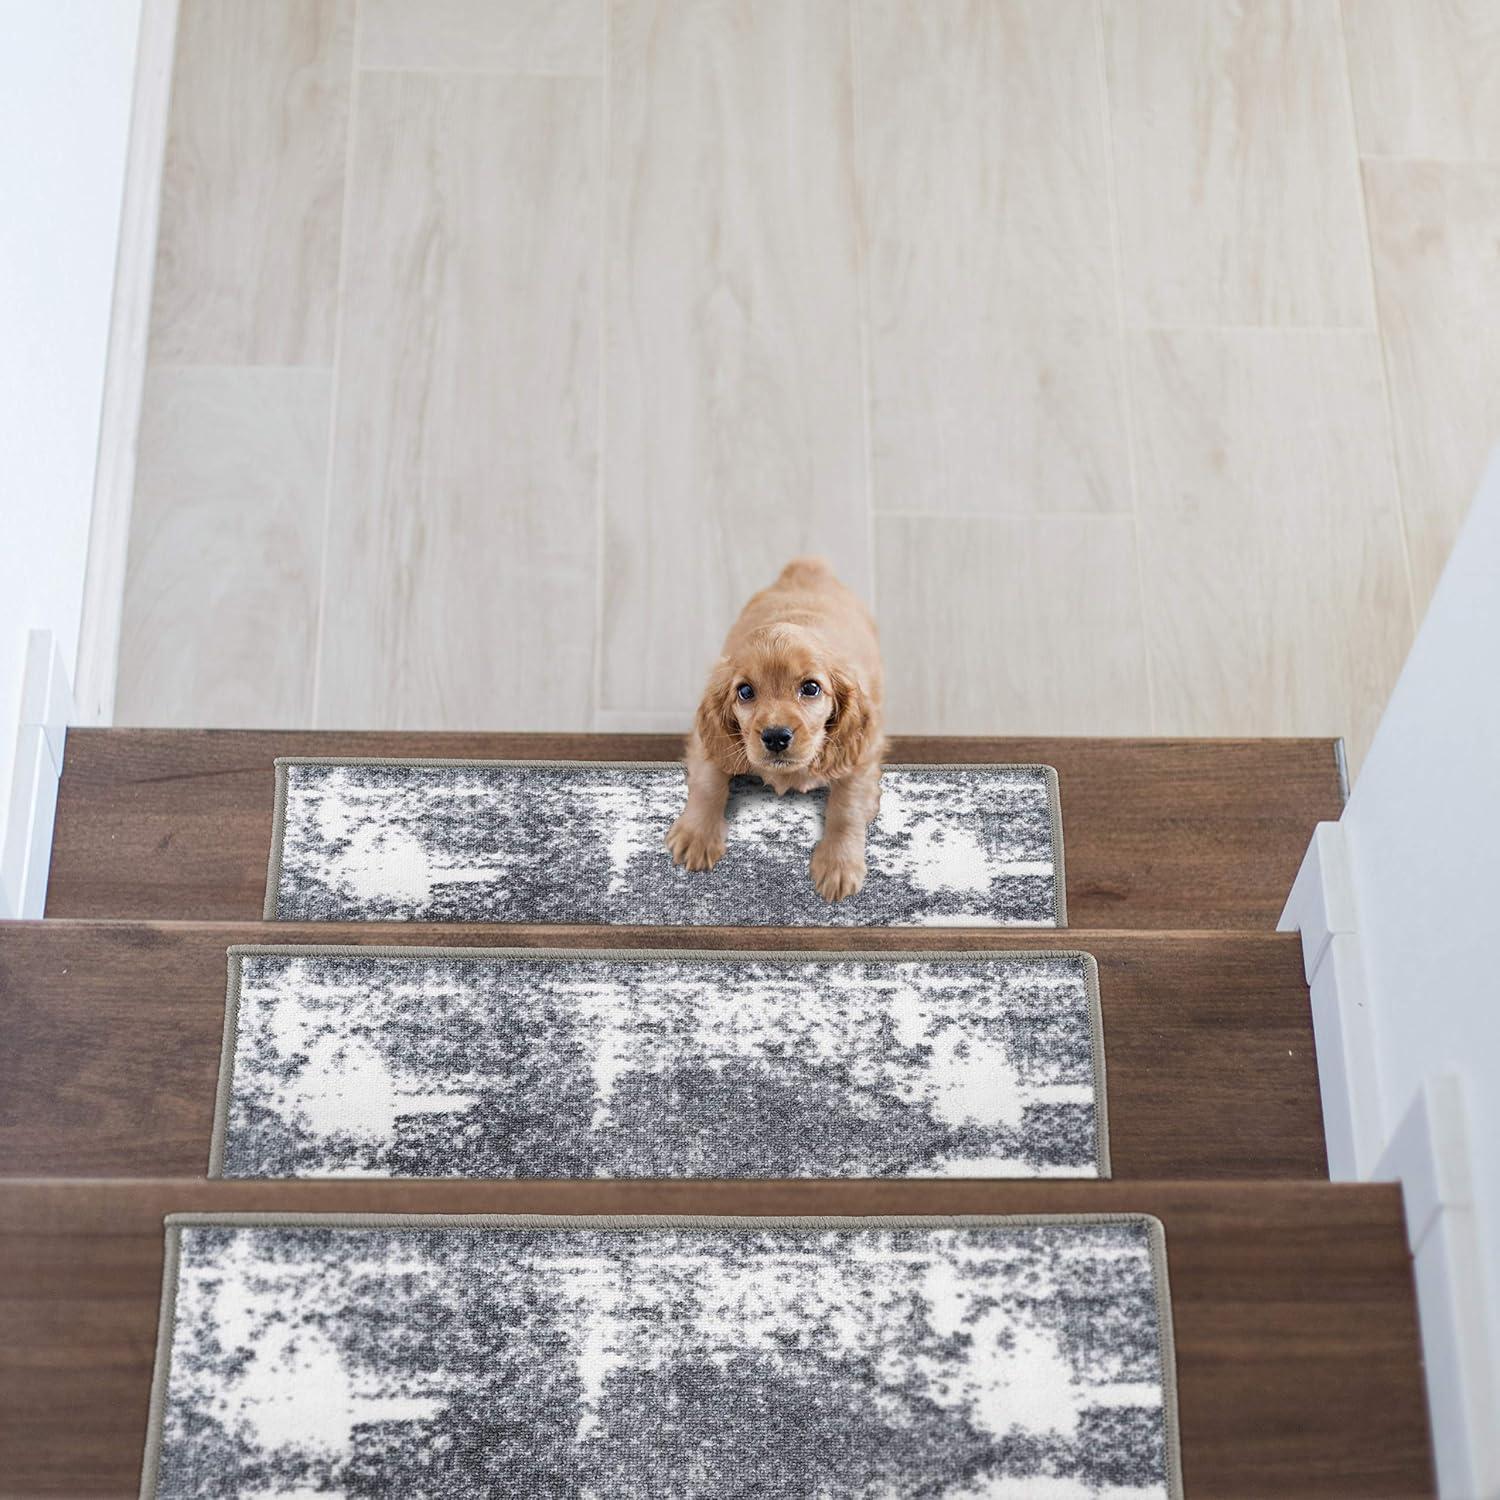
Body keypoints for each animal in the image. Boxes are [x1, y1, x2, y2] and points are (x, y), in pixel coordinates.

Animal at [666, 555, 876, 894]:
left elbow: (847, 807)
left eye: (811, 688)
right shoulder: (706, 740)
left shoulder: (862, 752)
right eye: (745, 692)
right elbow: (708, 782)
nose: (776, 737)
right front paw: (696, 835)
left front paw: (838, 865)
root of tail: (809, 566)